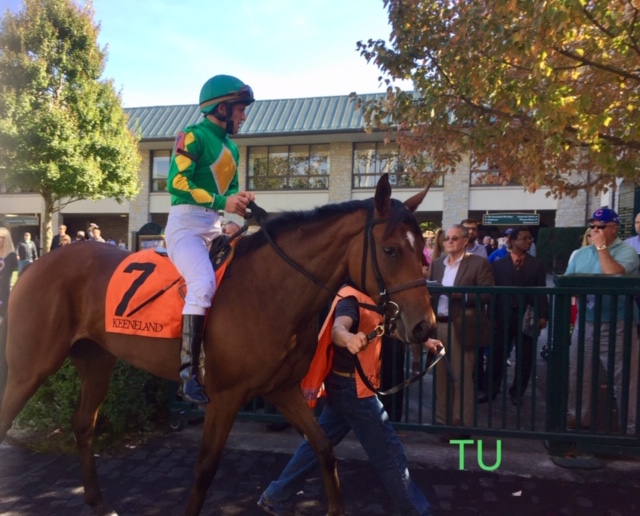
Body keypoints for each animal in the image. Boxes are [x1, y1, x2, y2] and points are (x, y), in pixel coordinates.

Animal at [0, 174, 436, 516]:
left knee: (83, 424)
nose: (423, 326)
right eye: (391, 249)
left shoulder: (282, 390)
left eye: (423, 252)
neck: (269, 290)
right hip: (30, 366)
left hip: (97, 361)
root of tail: (38, 261)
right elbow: (206, 468)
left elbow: (324, 448)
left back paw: (98, 501)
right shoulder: (225, 397)